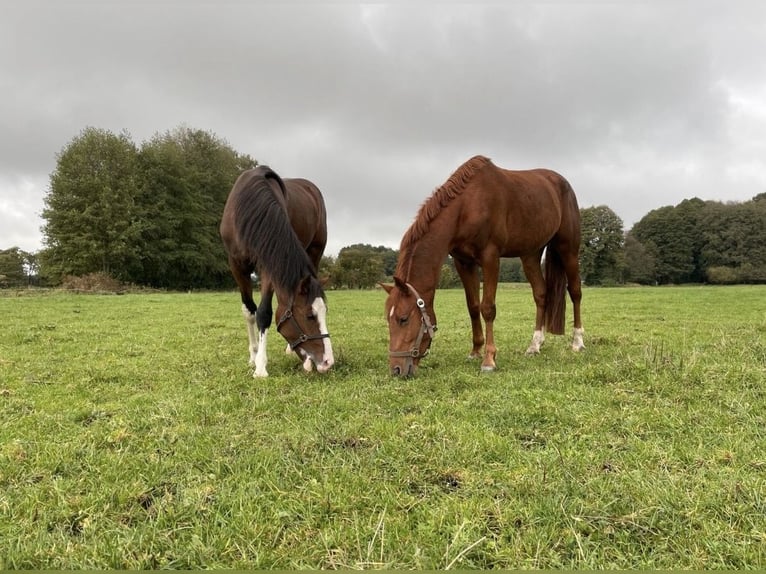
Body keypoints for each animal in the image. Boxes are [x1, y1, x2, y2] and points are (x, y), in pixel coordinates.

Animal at [220, 165, 334, 377]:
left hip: (315, 250)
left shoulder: (269, 264)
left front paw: (261, 365)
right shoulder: (236, 265)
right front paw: (255, 359)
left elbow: (264, 312)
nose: (328, 362)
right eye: (309, 315)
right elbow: (250, 311)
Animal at [383, 155, 584, 377]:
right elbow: (473, 307)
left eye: (403, 319)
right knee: (541, 294)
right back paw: (534, 345)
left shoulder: (490, 258)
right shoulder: (464, 263)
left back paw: (577, 341)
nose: (396, 369)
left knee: (575, 292)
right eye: (387, 319)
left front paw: (489, 359)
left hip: (568, 249)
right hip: (530, 255)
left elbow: (487, 308)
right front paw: (475, 351)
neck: (466, 206)